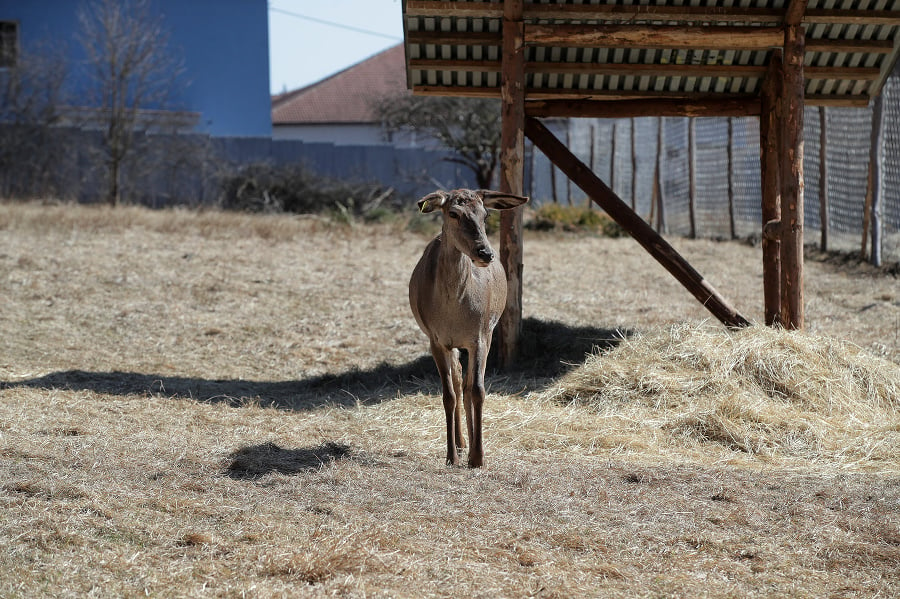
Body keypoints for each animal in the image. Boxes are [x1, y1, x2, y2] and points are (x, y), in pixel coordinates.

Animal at [408, 188, 528, 468]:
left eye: (486, 214)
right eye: (453, 213)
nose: (485, 254)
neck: (454, 313)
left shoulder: (481, 335)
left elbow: (478, 390)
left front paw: (478, 456)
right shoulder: (436, 339)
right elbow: (448, 394)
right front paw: (451, 455)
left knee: (468, 383)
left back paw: (470, 443)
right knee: (458, 378)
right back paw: (461, 443)